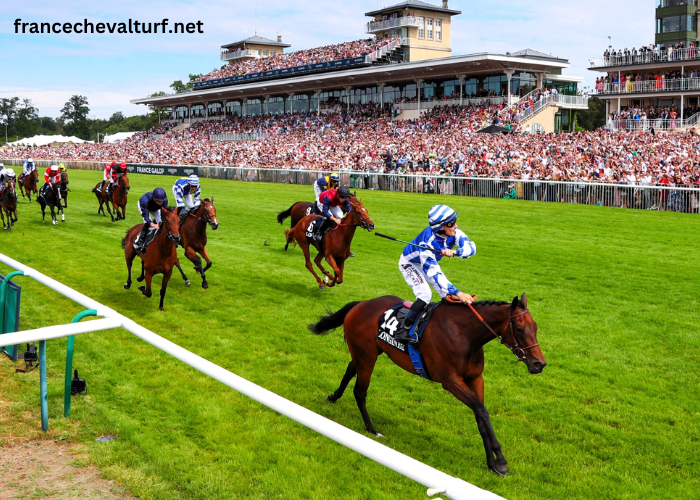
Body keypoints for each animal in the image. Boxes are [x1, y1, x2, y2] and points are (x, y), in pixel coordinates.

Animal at [310, 294, 548, 474]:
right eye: (519, 328)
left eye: (536, 327)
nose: (539, 364)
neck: (464, 334)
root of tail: (361, 304)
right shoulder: (450, 381)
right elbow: (482, 410)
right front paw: (501, 461)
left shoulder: (475, 379)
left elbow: (481, 416)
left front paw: (492, 462)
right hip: (367, 356)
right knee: (360, 391)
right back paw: (371, 429)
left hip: (367, 353)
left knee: (351, 369)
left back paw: (333, 396)